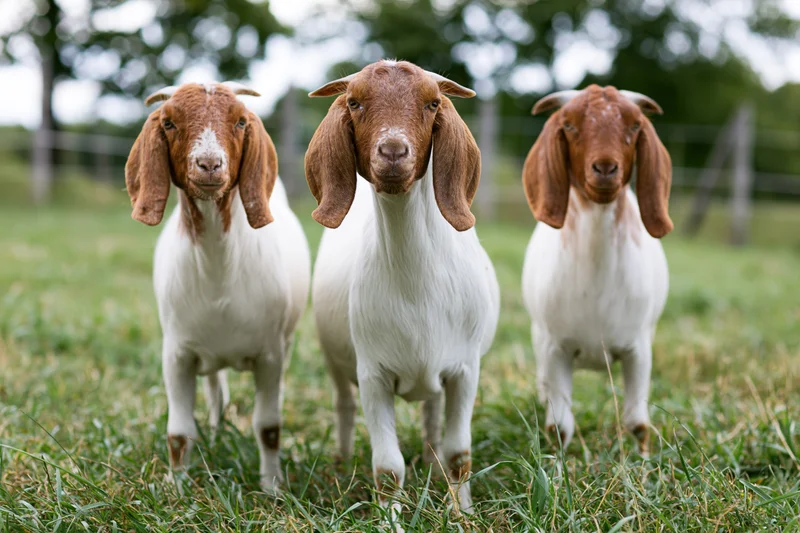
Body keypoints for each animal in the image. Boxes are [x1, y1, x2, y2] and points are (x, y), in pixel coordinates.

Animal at [125, 82, 310, 492]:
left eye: (241, 121)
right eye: (169, 122)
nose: (209, 164)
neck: (219, 269)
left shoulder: (270, 354)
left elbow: (268, 427)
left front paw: (272, 488)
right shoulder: (177, 353)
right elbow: (178, 431)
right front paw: (176, 487)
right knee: (215, 392)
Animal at [305, 60, 500, 520]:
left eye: (432, 103)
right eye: (354, 102)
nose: (393, 152)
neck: (416, 286)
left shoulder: (465, 369)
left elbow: (459, 453)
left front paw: (462, 513)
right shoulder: (373, 373)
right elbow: (388, 467)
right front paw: (389, 520)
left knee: (431, 411)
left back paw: (430, 458)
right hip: (335, 359)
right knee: (343, 405)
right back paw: (341, 463)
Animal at [521, 85, 672, 455]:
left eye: (635, 125)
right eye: (569, 125)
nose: (604, 168)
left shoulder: (639, 348)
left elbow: (638, 423)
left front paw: (644, 463)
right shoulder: (553, 348)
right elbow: (559, 425)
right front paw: (557, 466)